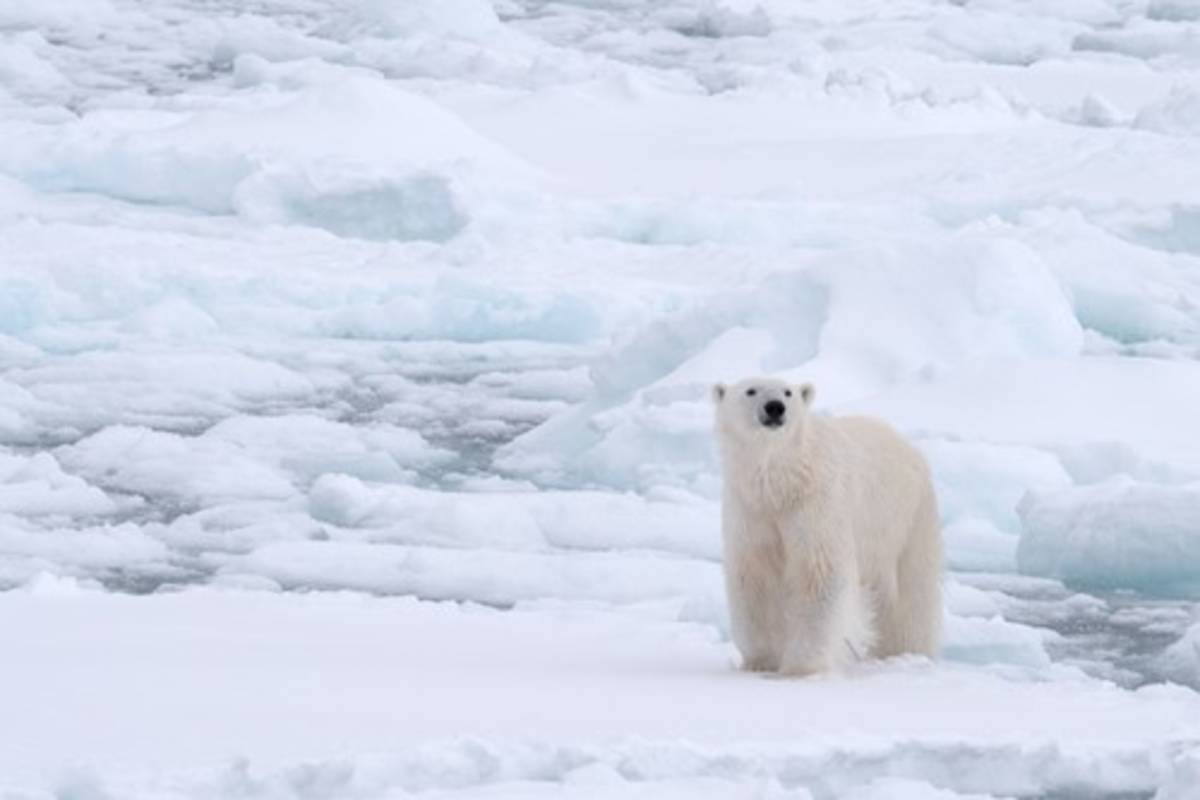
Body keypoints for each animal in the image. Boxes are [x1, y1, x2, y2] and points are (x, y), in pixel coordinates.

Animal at [712, 376, 942, 676]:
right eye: (751, 390)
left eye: (788, 392)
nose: (775, 407)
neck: (784, 482)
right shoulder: (751, 511)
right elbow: (755, 578)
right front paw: (761, 661)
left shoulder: (818, 504)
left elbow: (819, 572)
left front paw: (801, 666)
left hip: (906, 518)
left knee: (911, 596)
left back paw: (906, 653)